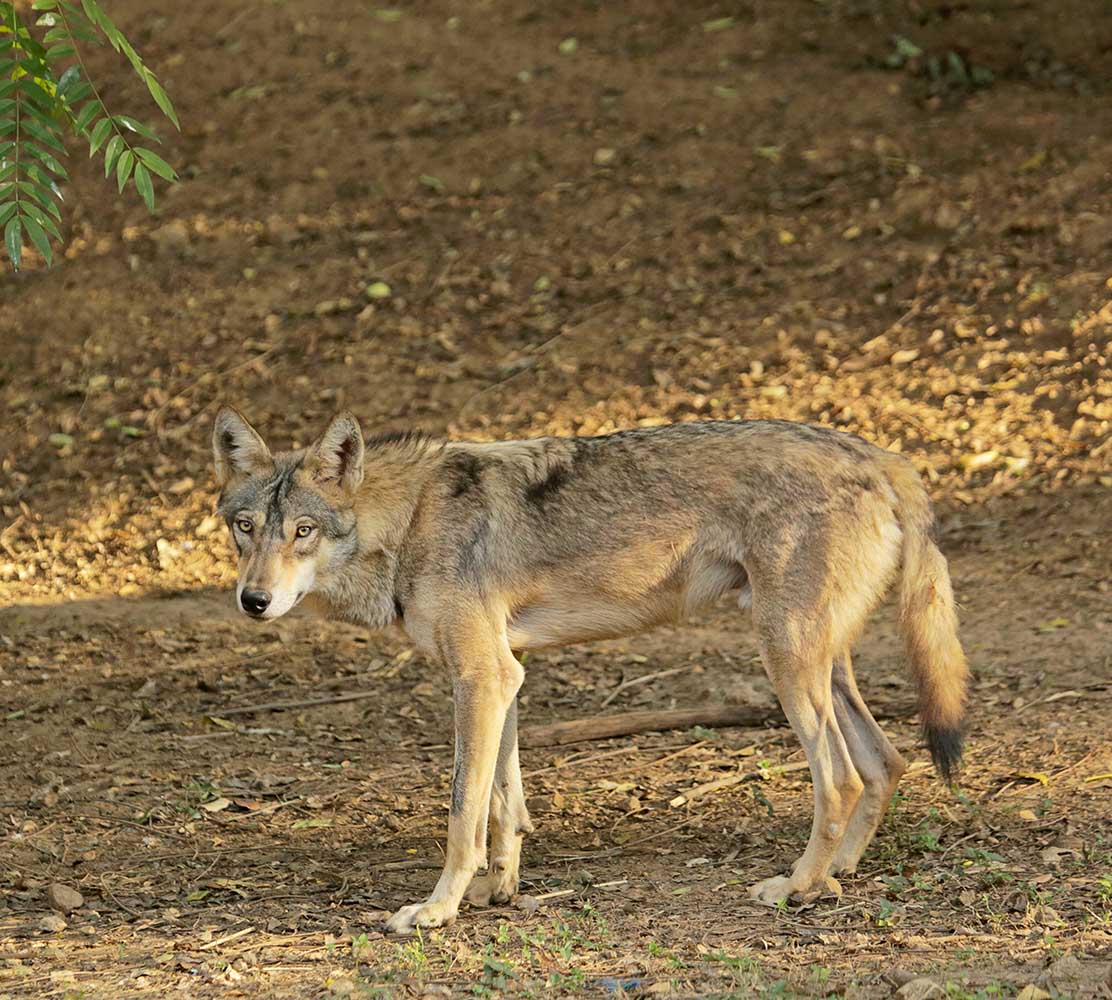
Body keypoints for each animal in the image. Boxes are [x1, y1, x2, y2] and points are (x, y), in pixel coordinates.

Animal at [212, 407, 969, 938]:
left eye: (303, 531)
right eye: (244, 527)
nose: (253, 601)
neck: (411, 519)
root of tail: (879, 452)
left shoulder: (481, 676)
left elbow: (461, 812)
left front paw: (435, 910)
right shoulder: (506, 676)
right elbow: (504, 804)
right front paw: (496, 892)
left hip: (785, 659)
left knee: (841, 778)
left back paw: (796, 886)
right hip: (819, 662)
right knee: (888, 760)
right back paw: (837, 873)